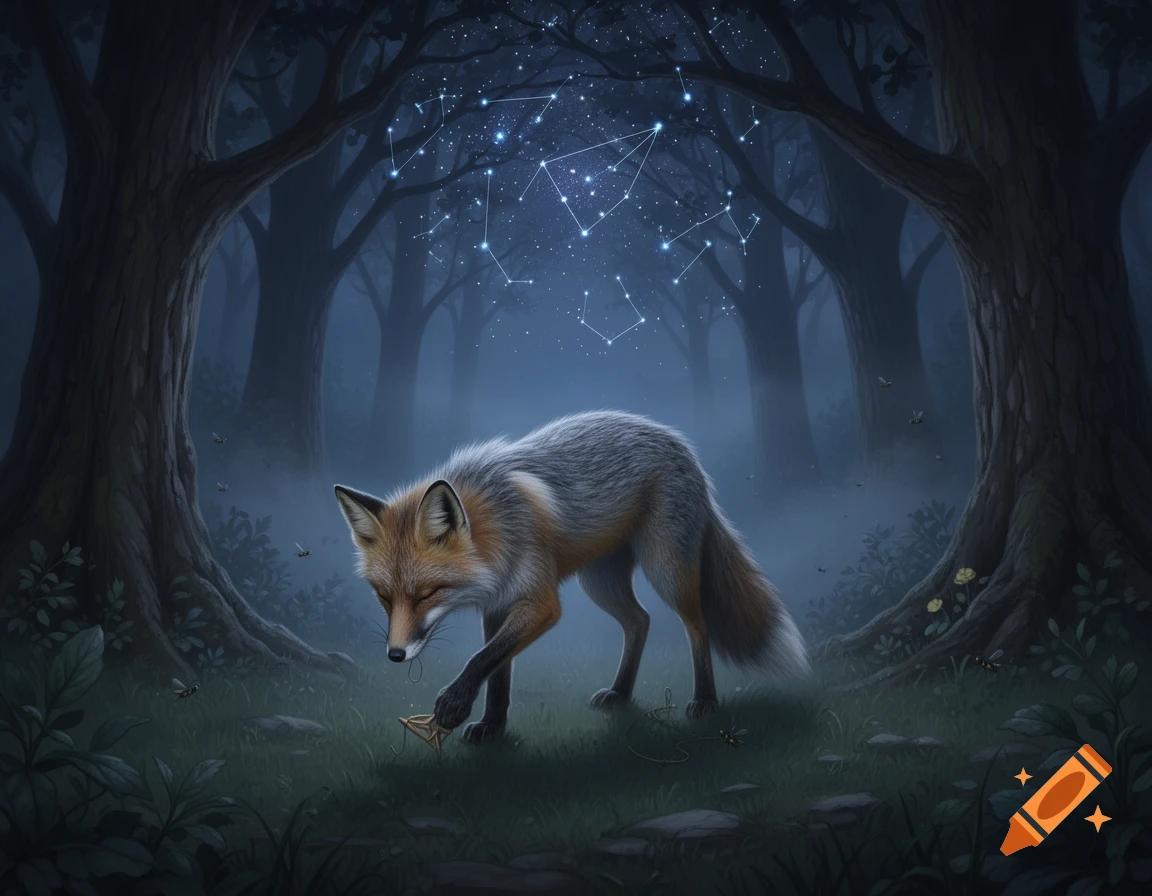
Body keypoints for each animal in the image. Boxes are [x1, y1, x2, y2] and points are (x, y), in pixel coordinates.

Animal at [334, 410, 809, 745]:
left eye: (428, 593)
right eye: (383, 597)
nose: (395, 655)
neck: (497, 521)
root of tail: (677, 441)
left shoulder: (541, 603)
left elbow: (482, 659)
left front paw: (454, 704)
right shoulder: (499, 605)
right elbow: (497, 669)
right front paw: (492, 725)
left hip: (666, 571)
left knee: (697, 625)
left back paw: (705, 700)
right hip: (600, 582)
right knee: (640, 621)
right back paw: (620, 693)